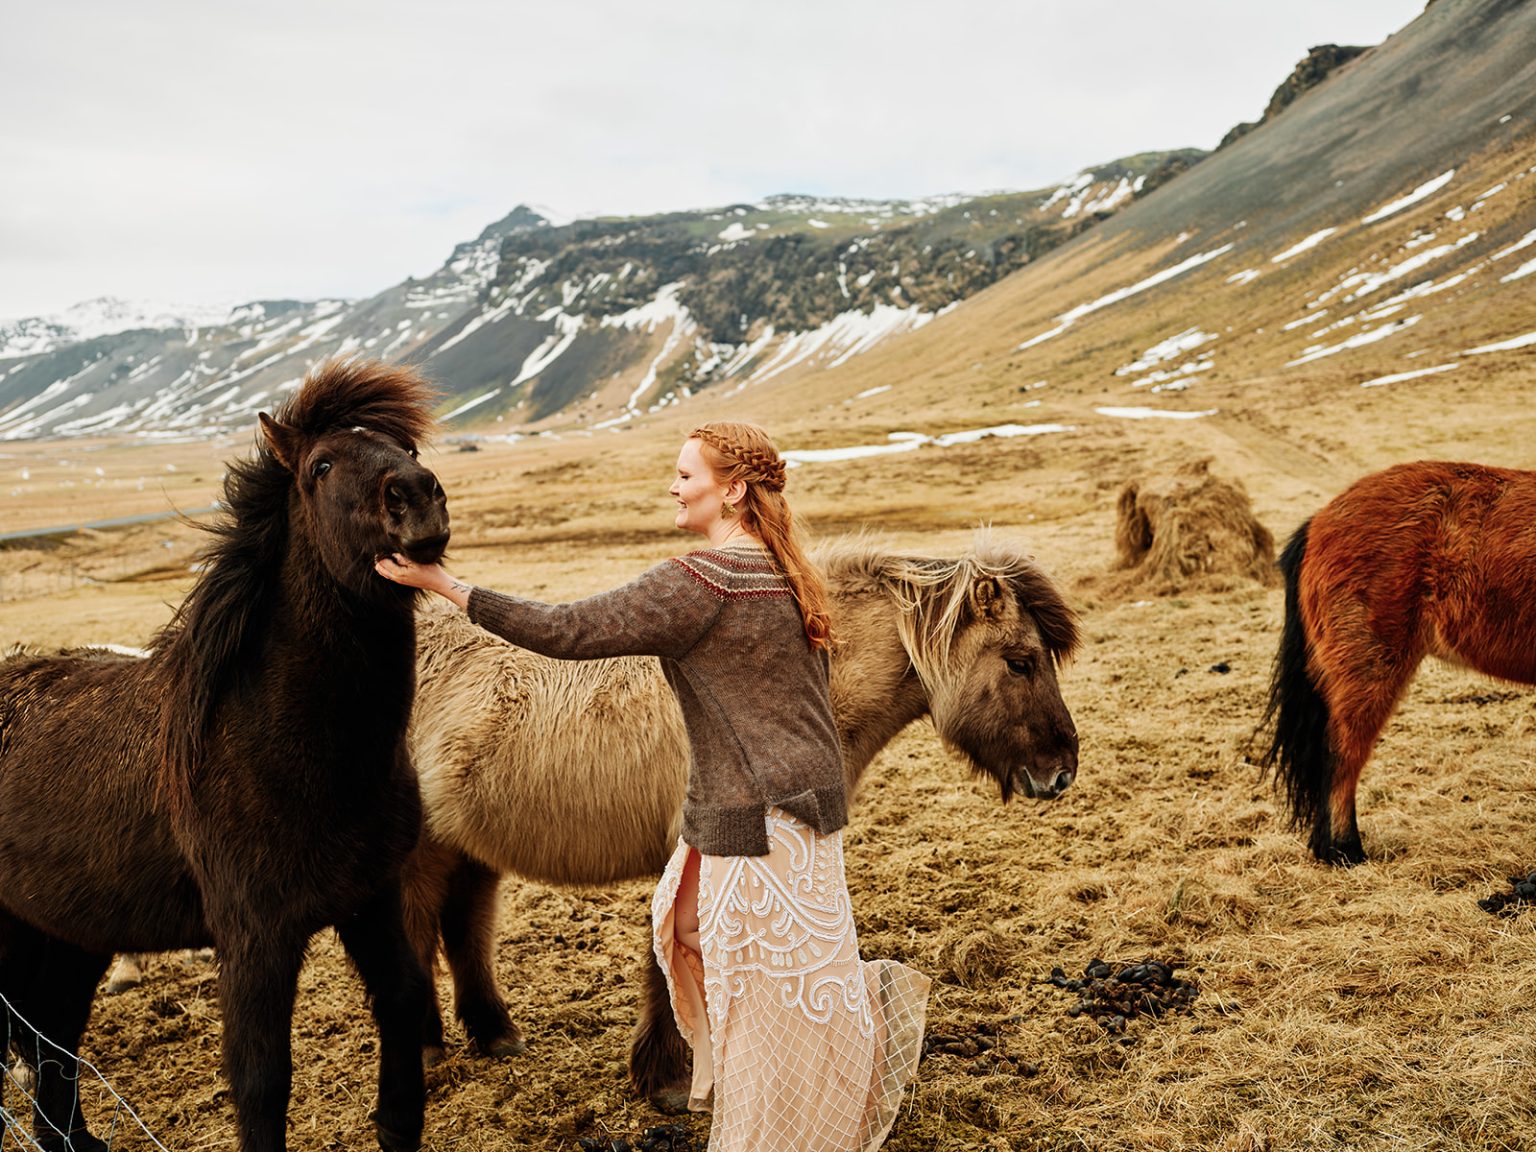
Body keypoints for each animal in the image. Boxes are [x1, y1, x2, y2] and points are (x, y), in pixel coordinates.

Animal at [0, 359, 449, 1152]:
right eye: (320, 466)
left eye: (410, 450)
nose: (418, 499)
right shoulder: (254, 939)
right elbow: (262, 1083)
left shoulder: (370, 898)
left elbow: (401, 1003)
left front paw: (397, 1120)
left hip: (65, 935)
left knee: (54, 1042)